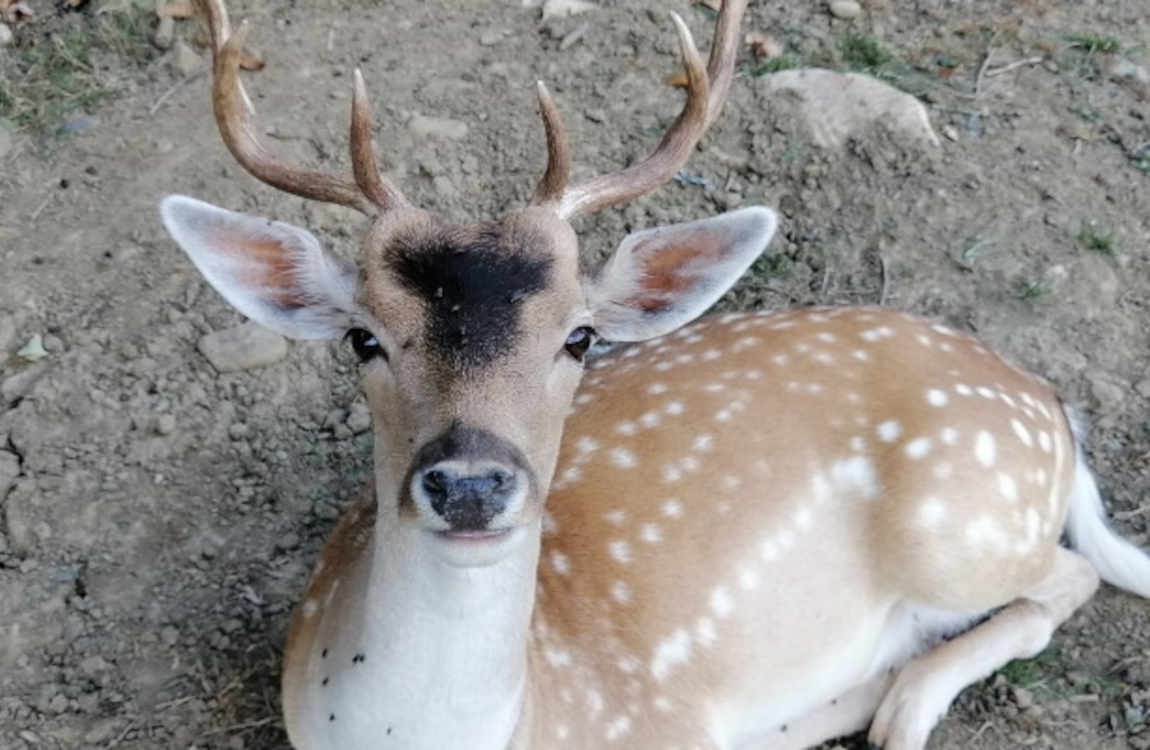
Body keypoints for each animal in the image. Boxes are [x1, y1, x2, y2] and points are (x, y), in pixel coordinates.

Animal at [159, 1, 1150, 750]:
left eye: (580, 337)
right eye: (363, 339)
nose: (471, 484)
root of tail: (1049, 404)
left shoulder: (659, 721)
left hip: (965, 523)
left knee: (1068, 578)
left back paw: (901, 706)